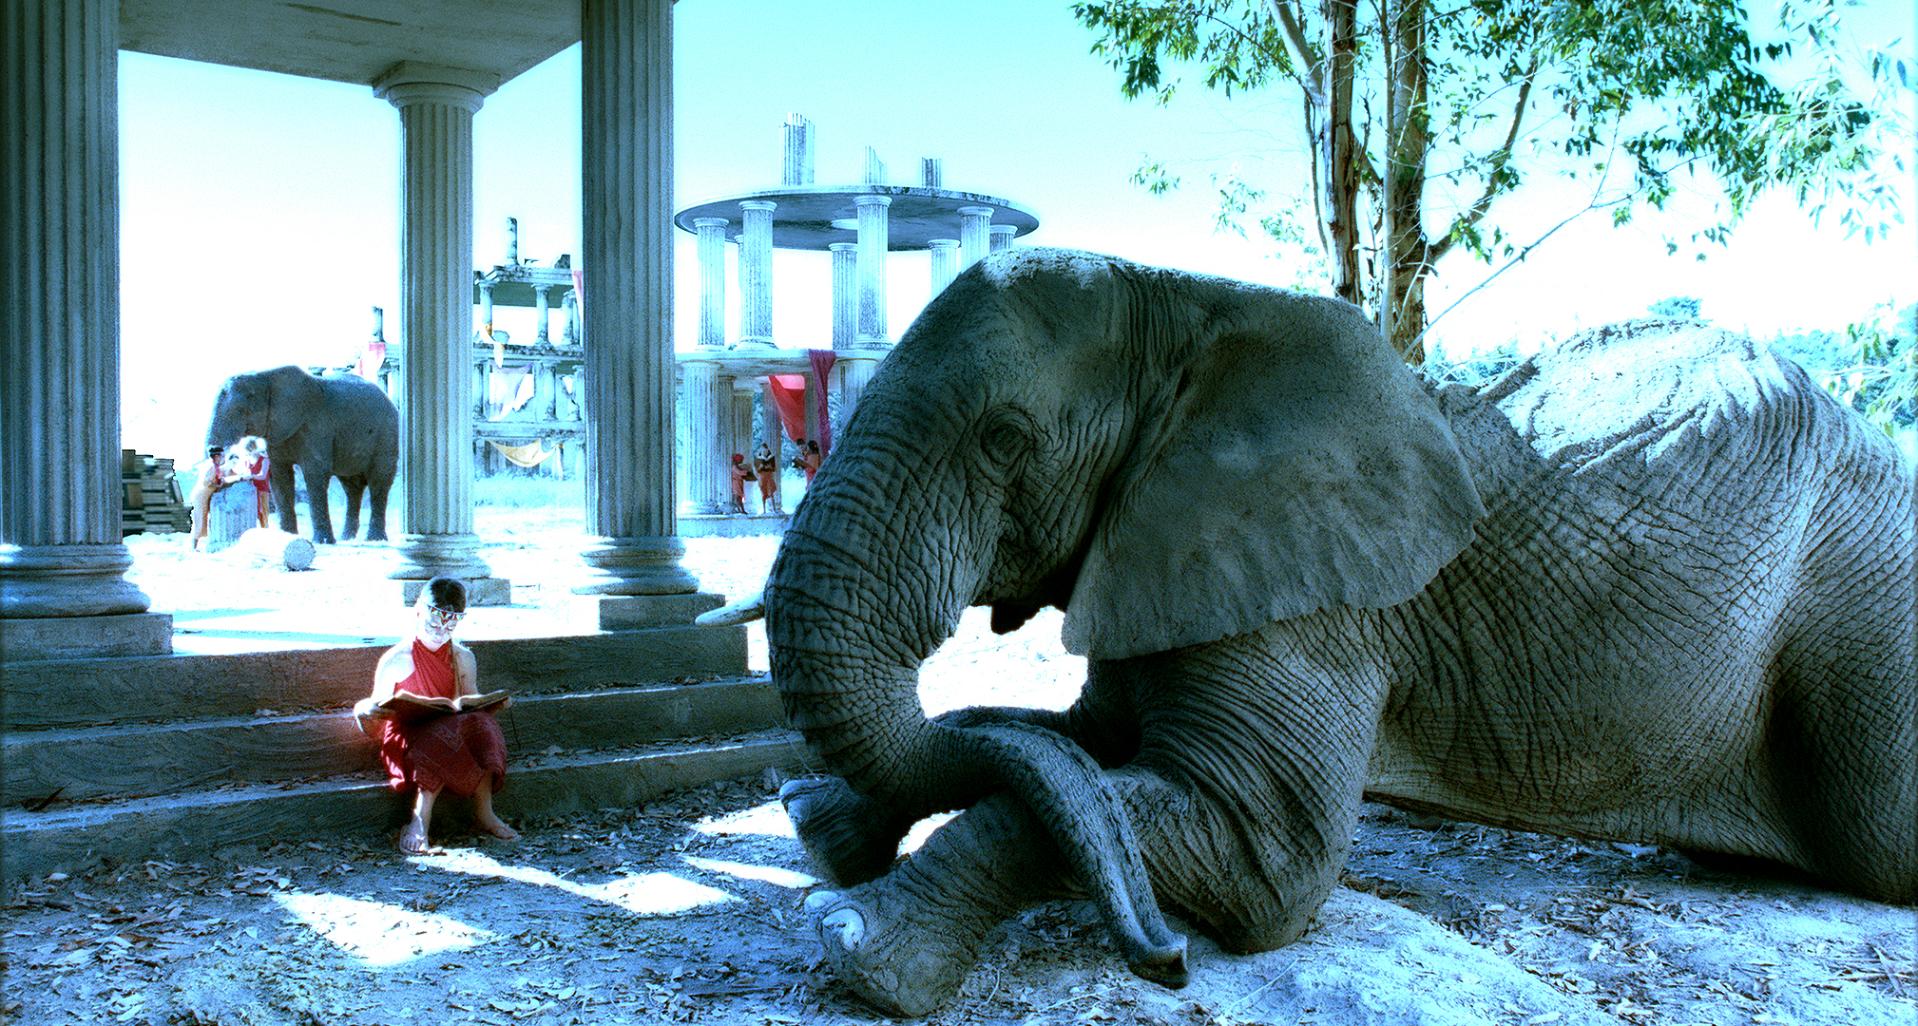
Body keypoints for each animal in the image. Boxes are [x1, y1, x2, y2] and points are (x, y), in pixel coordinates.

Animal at [206, 368, 397, 544]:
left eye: (240, 410)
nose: (214, 450)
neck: (265, 377)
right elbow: (280, 477)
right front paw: (287, 537)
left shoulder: (317, 427)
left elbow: (315, 474)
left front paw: (322, 542)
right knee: (352, 487)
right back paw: (347, 538)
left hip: (387, 436)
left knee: (379, 482)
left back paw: (375, 540)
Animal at [755, 251, 1910, 1020]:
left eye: (1002, 441)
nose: (1167, 962)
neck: (1192, 306)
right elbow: (1065, 744)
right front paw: (821, 828)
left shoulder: (1318, 601)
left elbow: (1265, 862)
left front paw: (858, 945)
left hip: (1869, 600)